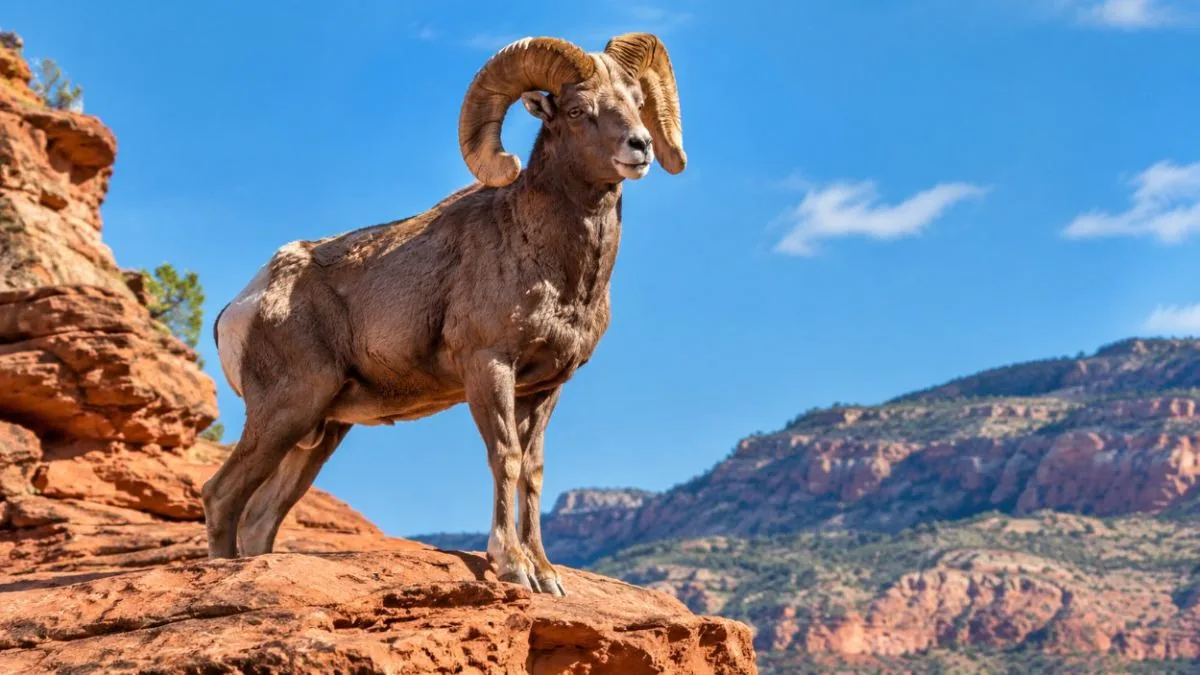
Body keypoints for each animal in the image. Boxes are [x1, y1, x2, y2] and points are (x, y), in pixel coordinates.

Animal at [204, 33, 686, 596]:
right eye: (576, 110)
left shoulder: (545, 387)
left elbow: (534, 470)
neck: (557, 268)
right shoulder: (488, 366)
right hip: (286, 409)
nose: (640, 147)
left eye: (636, 101)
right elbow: (505, 457)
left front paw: (546, 574)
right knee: (221, 496)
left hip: (318, 433)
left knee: (260, 519)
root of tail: (240, 307)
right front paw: (513, 566)